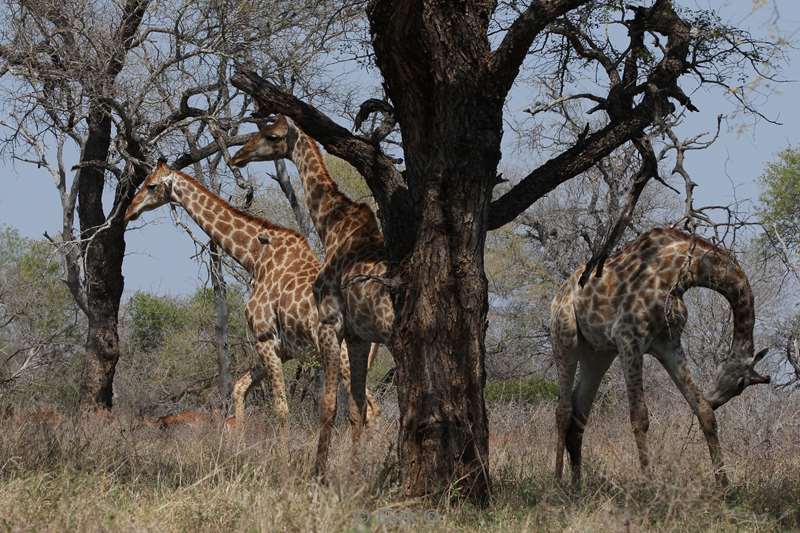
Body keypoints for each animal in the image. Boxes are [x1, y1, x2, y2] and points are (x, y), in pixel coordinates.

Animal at [122, 160, 378, 426]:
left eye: (151, 186)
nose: (129, 211)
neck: (254, 258)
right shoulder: (283, 349)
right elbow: (239, 388)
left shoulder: (265, 338)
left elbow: (280, 408)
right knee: (369, 407)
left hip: (344, 353)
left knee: (369, 407)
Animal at [230, 113, 396, 474]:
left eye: (272, 135)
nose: (237, 156)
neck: (333, 227)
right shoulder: (357, 336)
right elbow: (355, 409)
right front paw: (352, 471)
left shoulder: (331, 325)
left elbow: (329, 406)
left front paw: (319, 472)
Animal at [552, 227, 768, 484]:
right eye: (740, 384)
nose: (716, 400)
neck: (686, 271)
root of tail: (561, 291)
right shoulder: (629, 339)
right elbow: (639, 417)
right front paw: (648, 483)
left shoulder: (668, 344)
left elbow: (703, 410)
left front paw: (724, 484)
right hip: (565, 336)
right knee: (563, 410)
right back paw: (557, 481)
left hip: (598, 353)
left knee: (579, 413)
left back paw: (577, 484)